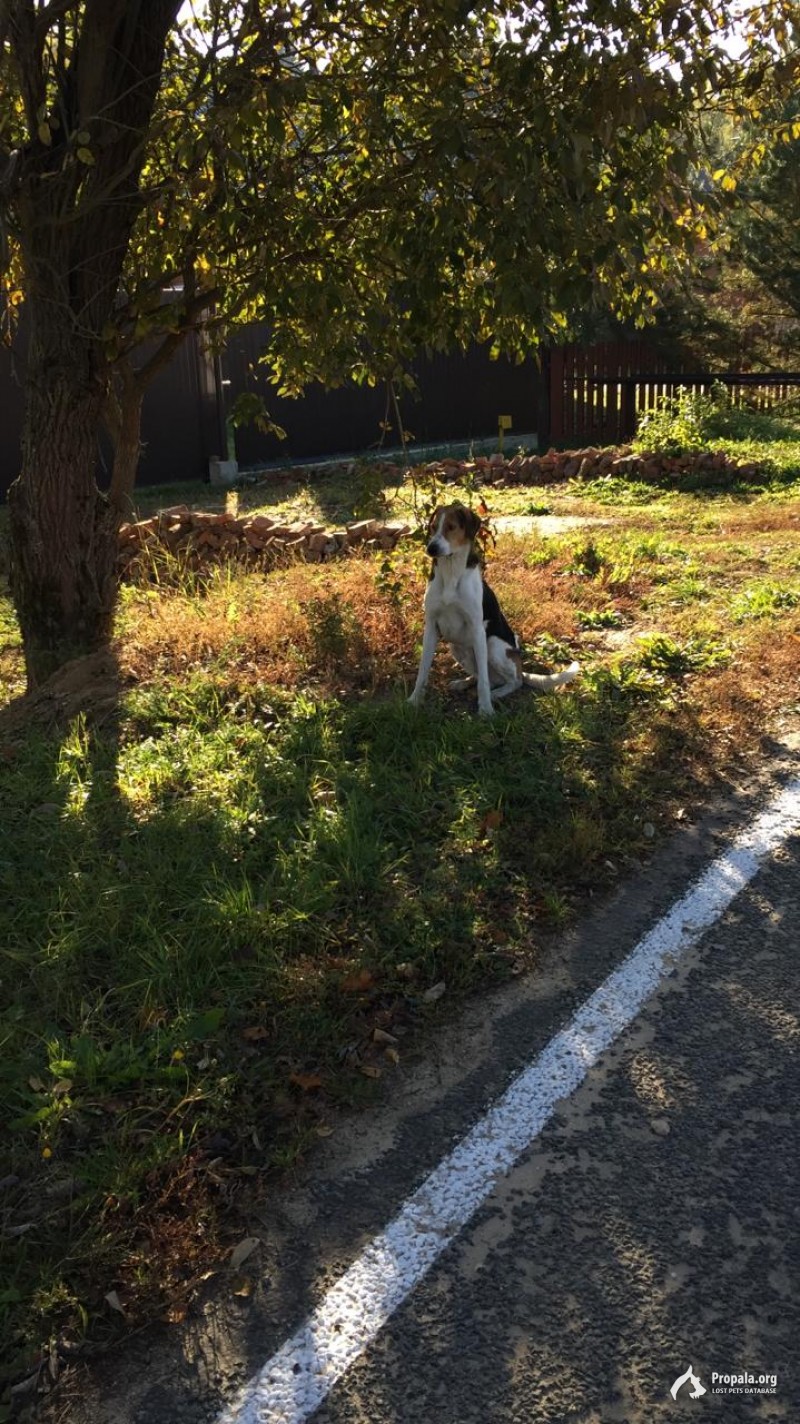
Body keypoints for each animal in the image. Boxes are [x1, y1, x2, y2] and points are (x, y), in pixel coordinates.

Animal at [407, 504, 575, 723]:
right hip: (456, 647)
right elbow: (423, 671)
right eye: (433, 527)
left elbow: (484, 684)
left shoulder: (477, 629)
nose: (431, 548)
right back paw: (464, 683)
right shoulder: (431, 627)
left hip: (493, 645)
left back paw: (496, 694)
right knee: (483, 675)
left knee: (513, 681)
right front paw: (415, 700)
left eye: (451, 527)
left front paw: (486, 709)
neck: (451, 573)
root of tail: (520, 667)